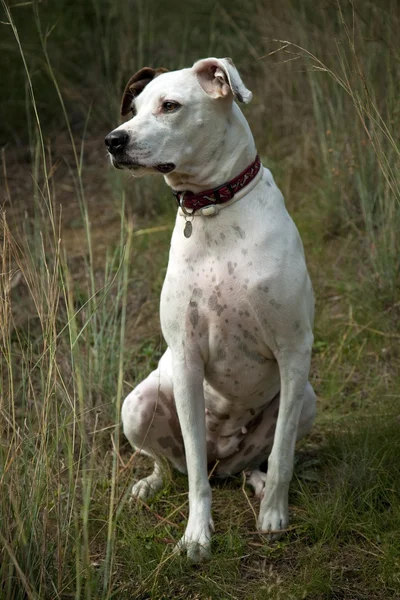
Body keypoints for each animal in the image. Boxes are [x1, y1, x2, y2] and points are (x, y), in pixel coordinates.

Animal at [105, 58, 316, 560]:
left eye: (170, 106)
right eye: (134, 108)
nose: (113, 140)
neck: (213, 208)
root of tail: (227, 459)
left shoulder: (294, 351)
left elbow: (282, 454)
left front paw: (274, 516)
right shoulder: (186, 360)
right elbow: (195, 476)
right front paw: (196, 535)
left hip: (306, 399)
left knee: (260, 457)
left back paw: (257, 482)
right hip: (136, 405)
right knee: (174, 465)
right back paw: (149, 485)